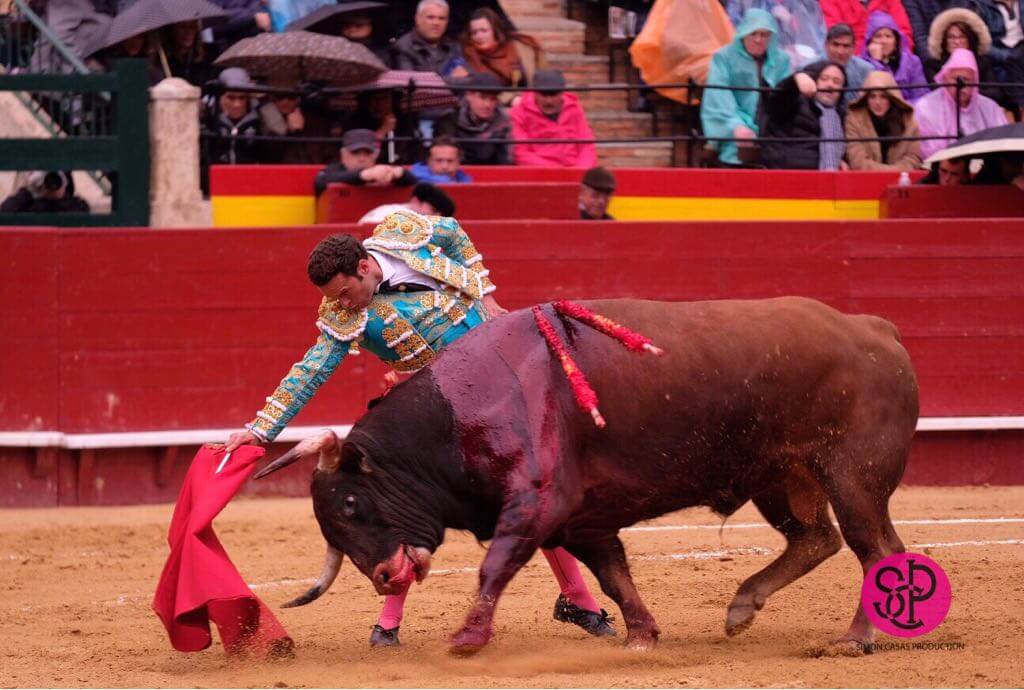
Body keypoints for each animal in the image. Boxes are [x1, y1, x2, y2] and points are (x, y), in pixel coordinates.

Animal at [256, 294, 921, 651]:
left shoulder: (537, 503)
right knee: (819, 538)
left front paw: (467, 640)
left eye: (349, 504)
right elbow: (614, 575)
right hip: (782, 477)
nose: (385, 576)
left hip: (853, 476)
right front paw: (641, 635)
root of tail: (875, 329)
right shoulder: (582, 521)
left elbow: (497, 564)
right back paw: (742, 607)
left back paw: (858, 637)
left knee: (874, 547)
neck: (461, 411)